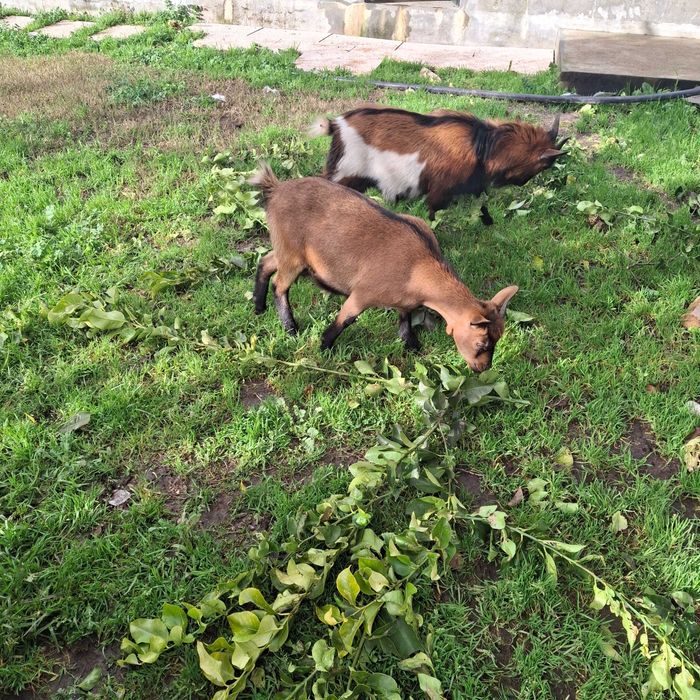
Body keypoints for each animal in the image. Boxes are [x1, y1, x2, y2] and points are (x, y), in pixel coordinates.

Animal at [248, 162, 518, 372]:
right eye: (482, 344)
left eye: (498, 338)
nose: (483, 368)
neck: (419, 267)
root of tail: (276, 189)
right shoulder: (363, 293)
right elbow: (345, 320)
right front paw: (324, 347)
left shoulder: (405, 300)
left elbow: (405, 318)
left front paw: (412, 345)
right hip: (292, 255)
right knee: (280, 285)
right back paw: (290, 327)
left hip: (287, 251)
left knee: (266, 262)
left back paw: (259, 307)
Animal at [309, 105, 568, 224]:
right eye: (543, 165)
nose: (523, 183)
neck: (483, 145)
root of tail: (336, 125)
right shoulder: (440, 189)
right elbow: (433, 213)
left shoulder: (473, 186)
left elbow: (482, 204)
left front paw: (488, 222)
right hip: (344, 173)